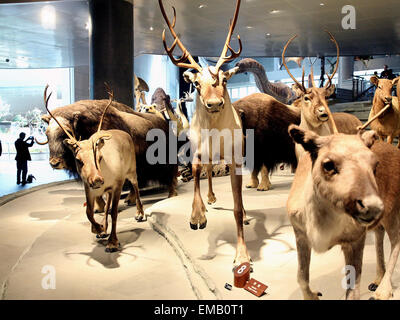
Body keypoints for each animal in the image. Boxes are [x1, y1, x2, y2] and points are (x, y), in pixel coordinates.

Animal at [43, 85, 144, 252]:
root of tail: (125, 133)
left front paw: (112, 242)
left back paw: (140, 213)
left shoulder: (117, 185)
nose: (97, 180)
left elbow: (114, 212)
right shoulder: (89, 188)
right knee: (107, 202)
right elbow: (89, 212)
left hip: (132, 172)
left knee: (136, 187)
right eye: (78, 159)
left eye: (99, 157)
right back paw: (103, 227)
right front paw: (98, 228)